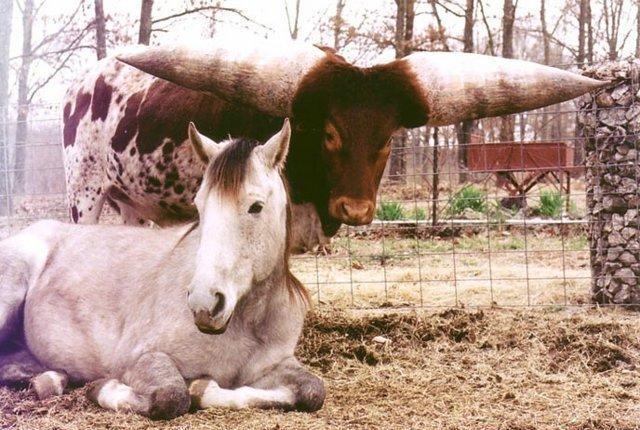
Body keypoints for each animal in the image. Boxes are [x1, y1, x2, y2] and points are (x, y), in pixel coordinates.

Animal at [0, 119, 322, 418]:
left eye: (256, 207)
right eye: (200, 206)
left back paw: (51, 379)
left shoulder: (276, 365)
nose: (204, 304)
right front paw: (106, 388)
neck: (247, 323)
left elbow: (313, 390)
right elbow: (172, 396)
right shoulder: (139, 359)